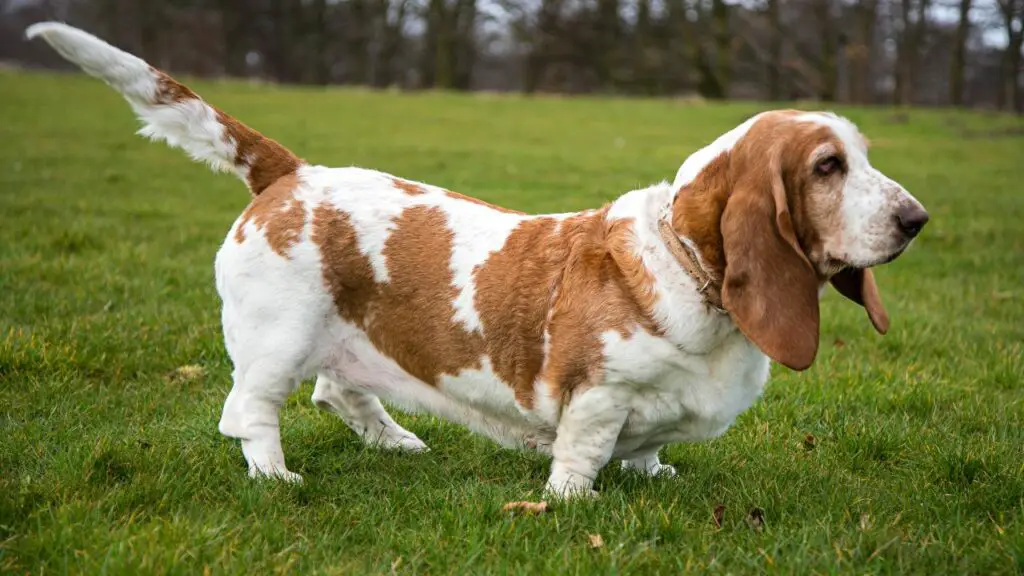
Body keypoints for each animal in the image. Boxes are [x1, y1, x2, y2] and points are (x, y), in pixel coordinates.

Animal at [29, 23, 929, 498]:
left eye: (863, 156)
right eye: (827, 168)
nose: (918, 219)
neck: (687, 267)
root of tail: (291, 172)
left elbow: (648, 449)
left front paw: (656, 474)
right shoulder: (596, 396)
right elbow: (584, 452)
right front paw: (574, 502)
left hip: (342, 336)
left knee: (338, 390)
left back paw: (396, 442)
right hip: (276, 341)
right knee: (250, 412)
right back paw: (278, 478)